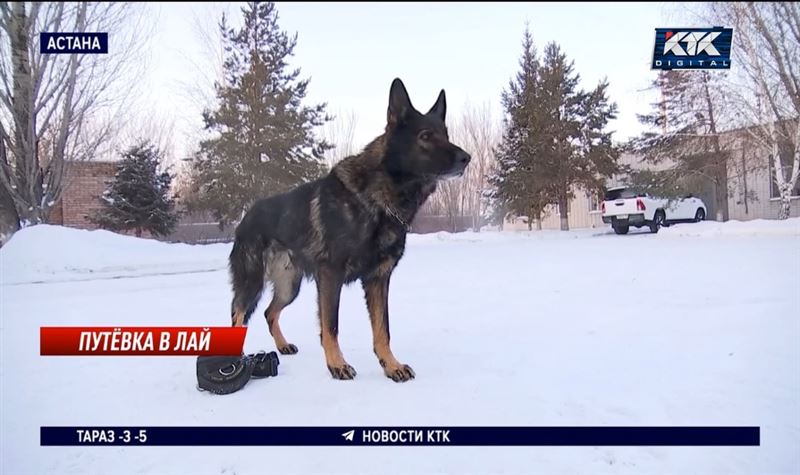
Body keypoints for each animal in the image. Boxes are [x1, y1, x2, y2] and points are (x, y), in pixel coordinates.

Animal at [228, 78, 472, 384]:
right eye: (426, 136)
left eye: (445, 135)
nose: (467, 158)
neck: (377, 199)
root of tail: (247, 214)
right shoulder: (331, 276)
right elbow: (331, 326)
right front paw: (337, 365)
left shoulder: (379, 279)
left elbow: (383, 330)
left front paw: (391, 365)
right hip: (253, 281)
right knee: (237, 314)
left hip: (288, 287)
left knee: (269, 312)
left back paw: (282, 346)